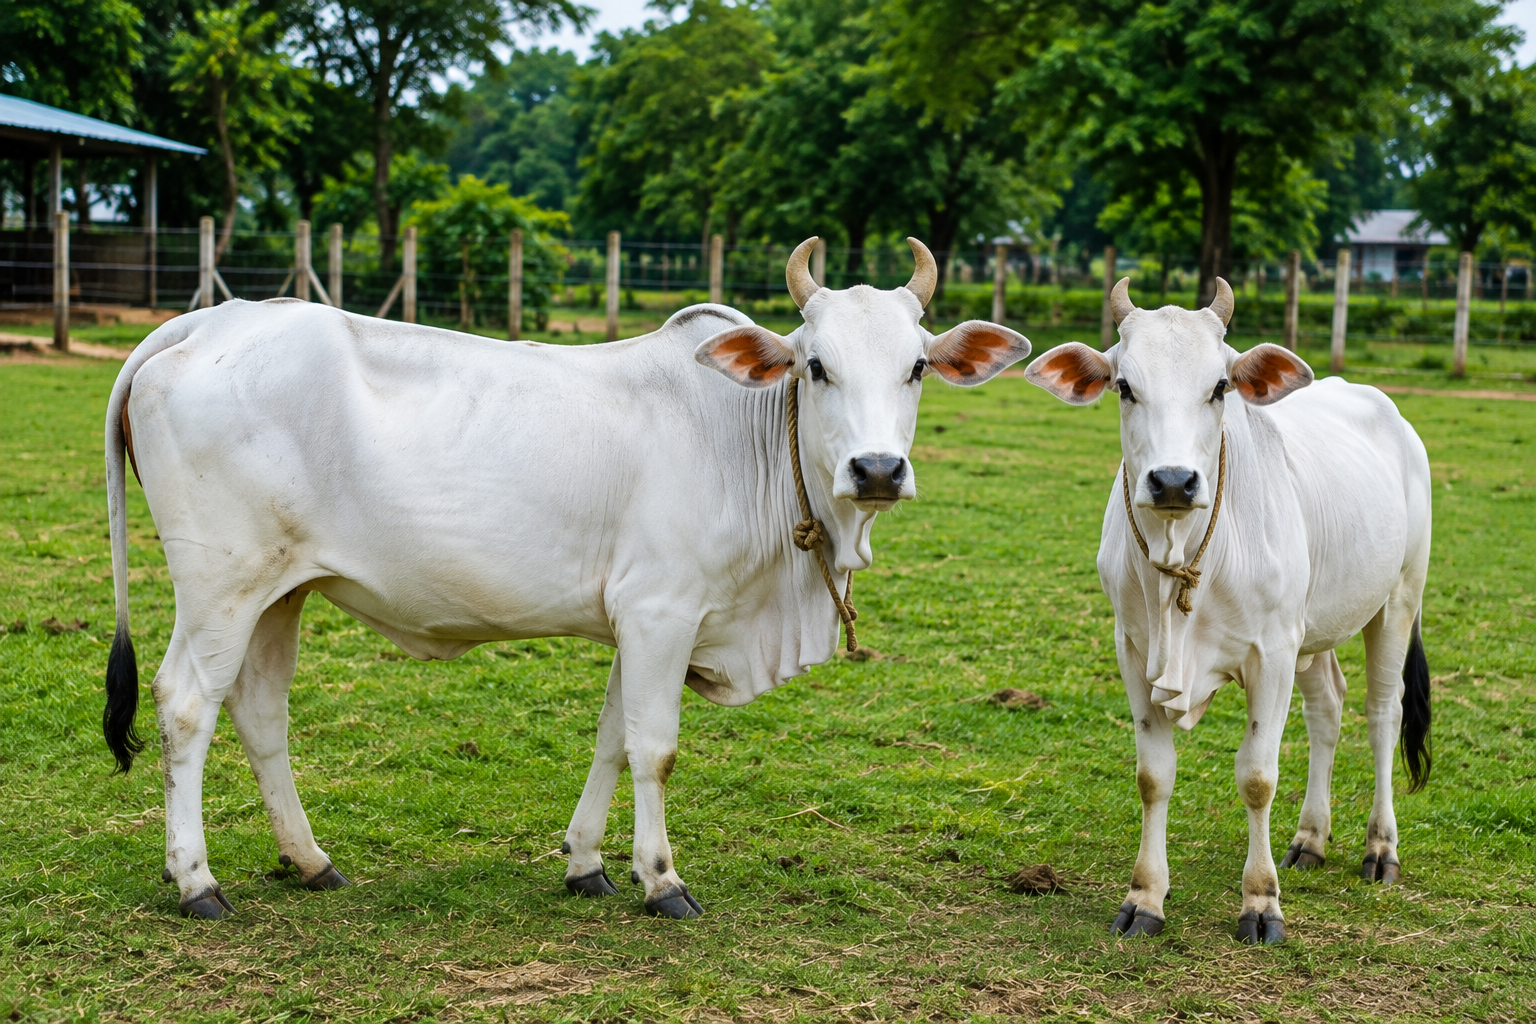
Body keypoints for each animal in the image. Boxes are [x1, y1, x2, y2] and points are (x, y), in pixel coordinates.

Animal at [102, 237, 1032, 921]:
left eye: (917, 367)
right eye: (817, 367)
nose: (877, 469)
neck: (746, 437)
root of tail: (202, 324)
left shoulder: (640, 620)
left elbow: (613, 738)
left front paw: (587, 864)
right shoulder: (662, 613)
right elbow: (655, 747)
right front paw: (663, 880)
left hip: (279, 592)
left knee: (260, 713)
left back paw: (309, 860)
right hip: (220, 587)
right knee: (185, 705)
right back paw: (196, 881)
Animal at [1023, 279, 1431, 944]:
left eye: (1219, 386)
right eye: (1124, 385)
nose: (1172, 481)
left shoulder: (1272, 655)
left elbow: (1257, 777)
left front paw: (1261, 904)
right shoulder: (1134, 651)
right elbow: (1153, 775)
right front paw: (1145, 898)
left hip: (1398, 598)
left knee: (1382, 712)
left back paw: (1380, 848)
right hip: (1312, 633)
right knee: (1328, 709)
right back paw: (1311, 839)